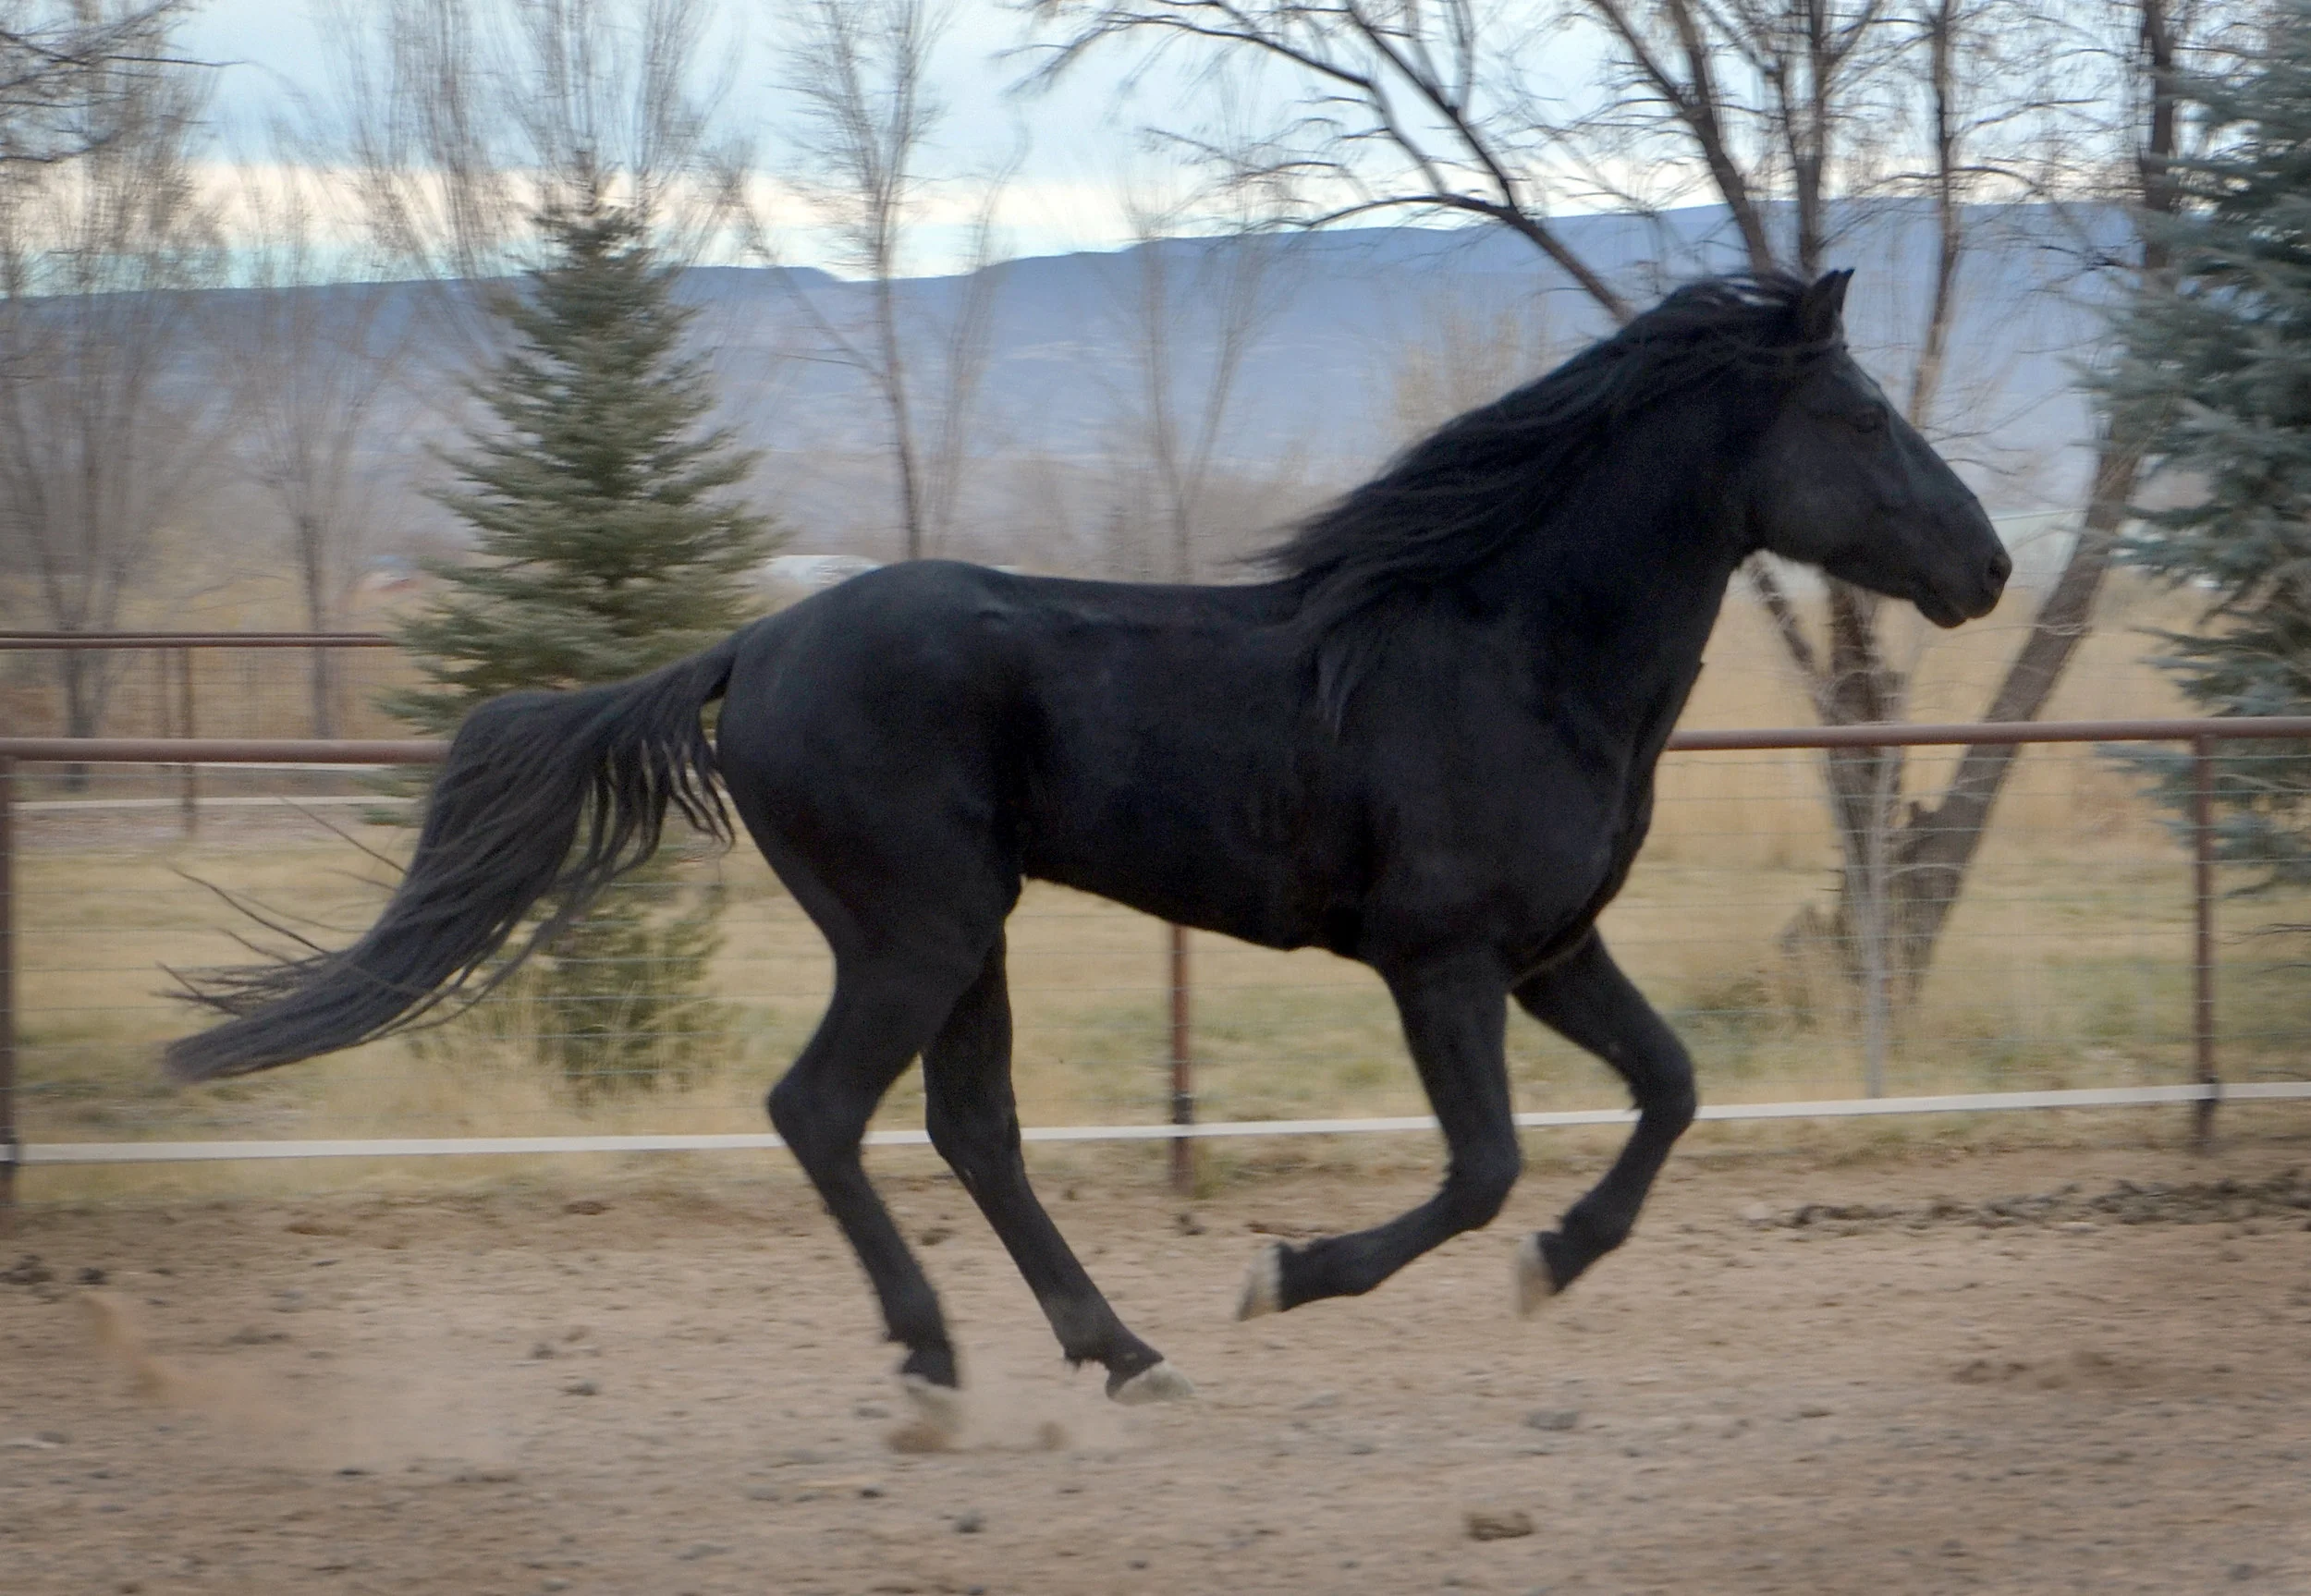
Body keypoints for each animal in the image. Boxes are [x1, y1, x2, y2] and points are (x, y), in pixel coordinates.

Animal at [166, 270, 2008, 1409]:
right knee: (824, 1109)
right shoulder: (1443, 961)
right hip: (911, 929)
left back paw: (1121, 1353)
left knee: (970, 1129)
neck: (1515, 651)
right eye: (1860, 421)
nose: (1986, 565)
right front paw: (1287, 1273)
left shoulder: (1556, 951)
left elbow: (1672, 1090)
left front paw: (1559, 1264)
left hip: (966, 933)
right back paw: (939, 1361)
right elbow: (1482, 1167)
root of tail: (753, 646)